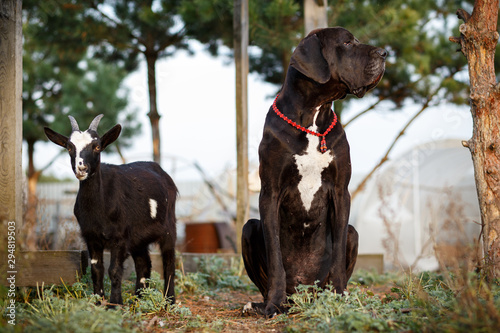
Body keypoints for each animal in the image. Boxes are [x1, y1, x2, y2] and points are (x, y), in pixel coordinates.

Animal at [44, 114, 178, 304]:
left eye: (97, 146)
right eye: (70, 147)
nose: (81, 168)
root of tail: (162, 172)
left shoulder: (119, 237)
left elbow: (114, 270)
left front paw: (114, 304)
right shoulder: (91, 237)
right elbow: (96, 270)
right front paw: (98, 302)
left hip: (168, 226)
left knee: (169, 261)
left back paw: (169, 301)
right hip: (138, 238)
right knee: (144, 262)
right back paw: (139, 299)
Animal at [242, 26, 386, 316]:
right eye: (347, 43)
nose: (385, 53)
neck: (313, 120)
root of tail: (302, 294)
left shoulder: (341, 192)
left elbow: (338, 254)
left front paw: (340, 297)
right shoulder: (270, 192)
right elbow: (275, 256)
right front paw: (273, 305)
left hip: (353, 233)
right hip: (248, 228)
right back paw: (262, 304)